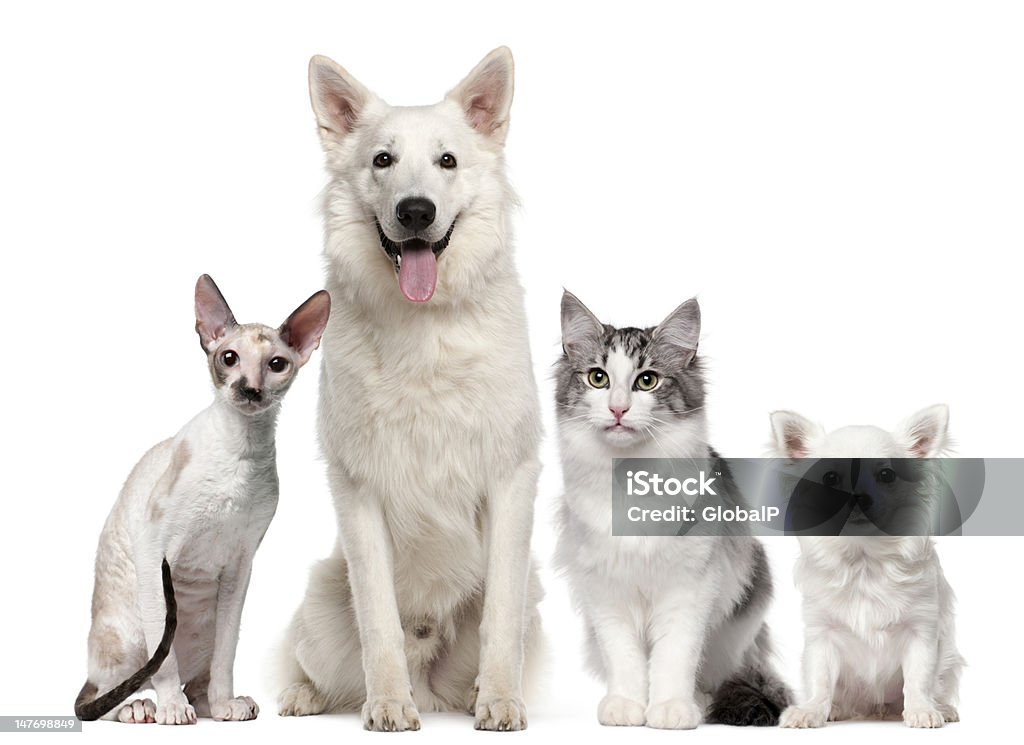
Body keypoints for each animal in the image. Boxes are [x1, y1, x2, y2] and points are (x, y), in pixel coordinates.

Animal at [272, 48, 544, 732]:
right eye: (382, 160)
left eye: (447, 160)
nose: (416, 212)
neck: (425, 331)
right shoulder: (358, 489)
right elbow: (379, 622)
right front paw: (389, 704)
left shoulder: (511, 478)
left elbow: (500, 619)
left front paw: (501, 702)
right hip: (322, 601)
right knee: (315, 661)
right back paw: (305, 696)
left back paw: (471, 694)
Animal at [557, 290, 786, 728]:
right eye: (598, 377)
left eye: (647, 380)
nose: (618, 409)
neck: (631, 477)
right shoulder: (605, 590)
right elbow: (625, 658)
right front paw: (626, 706)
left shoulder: (689, 589)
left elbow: (674, 657)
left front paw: (671, 709)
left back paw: (698, 701)